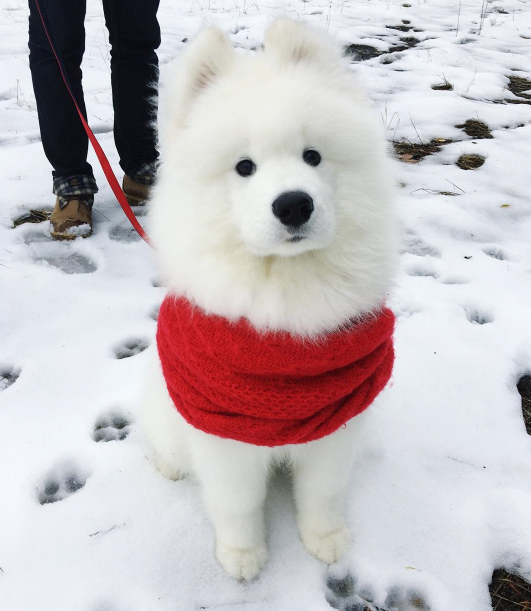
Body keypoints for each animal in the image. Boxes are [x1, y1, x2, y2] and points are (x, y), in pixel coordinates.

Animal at [139, 19, 396, 580]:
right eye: (244, 167)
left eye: (313, 156)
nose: (294, 204)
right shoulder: (224, 430)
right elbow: (237, 503)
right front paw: (242, 556)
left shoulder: (335, 421)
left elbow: (323, 491)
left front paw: (326, 540)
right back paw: (167, 465)